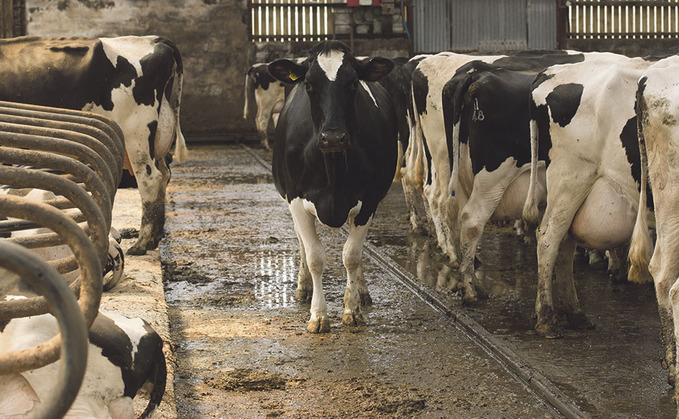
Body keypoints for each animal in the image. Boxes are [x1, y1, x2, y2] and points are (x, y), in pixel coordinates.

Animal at [0, 36, 187, 258]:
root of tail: (154, 40)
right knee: (164, 176)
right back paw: (153, 239)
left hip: (136, 134)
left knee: (150, 180)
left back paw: (141, 243)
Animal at [268, 41, 398, 334]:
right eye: (309, 84)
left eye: (353, 83)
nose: (333, 137)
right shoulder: (295, 200)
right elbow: (315, 257)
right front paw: (318, 315)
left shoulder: (369, 201)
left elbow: (352, 255)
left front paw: (352, 310)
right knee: (302, 244)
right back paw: (303, 287)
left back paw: (362, 291)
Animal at [524, 54, 656, 340]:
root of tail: (553, 70)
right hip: (569, 177)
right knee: (548, 238)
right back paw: (546, 317)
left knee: (565, 243)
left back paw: (574, 314)